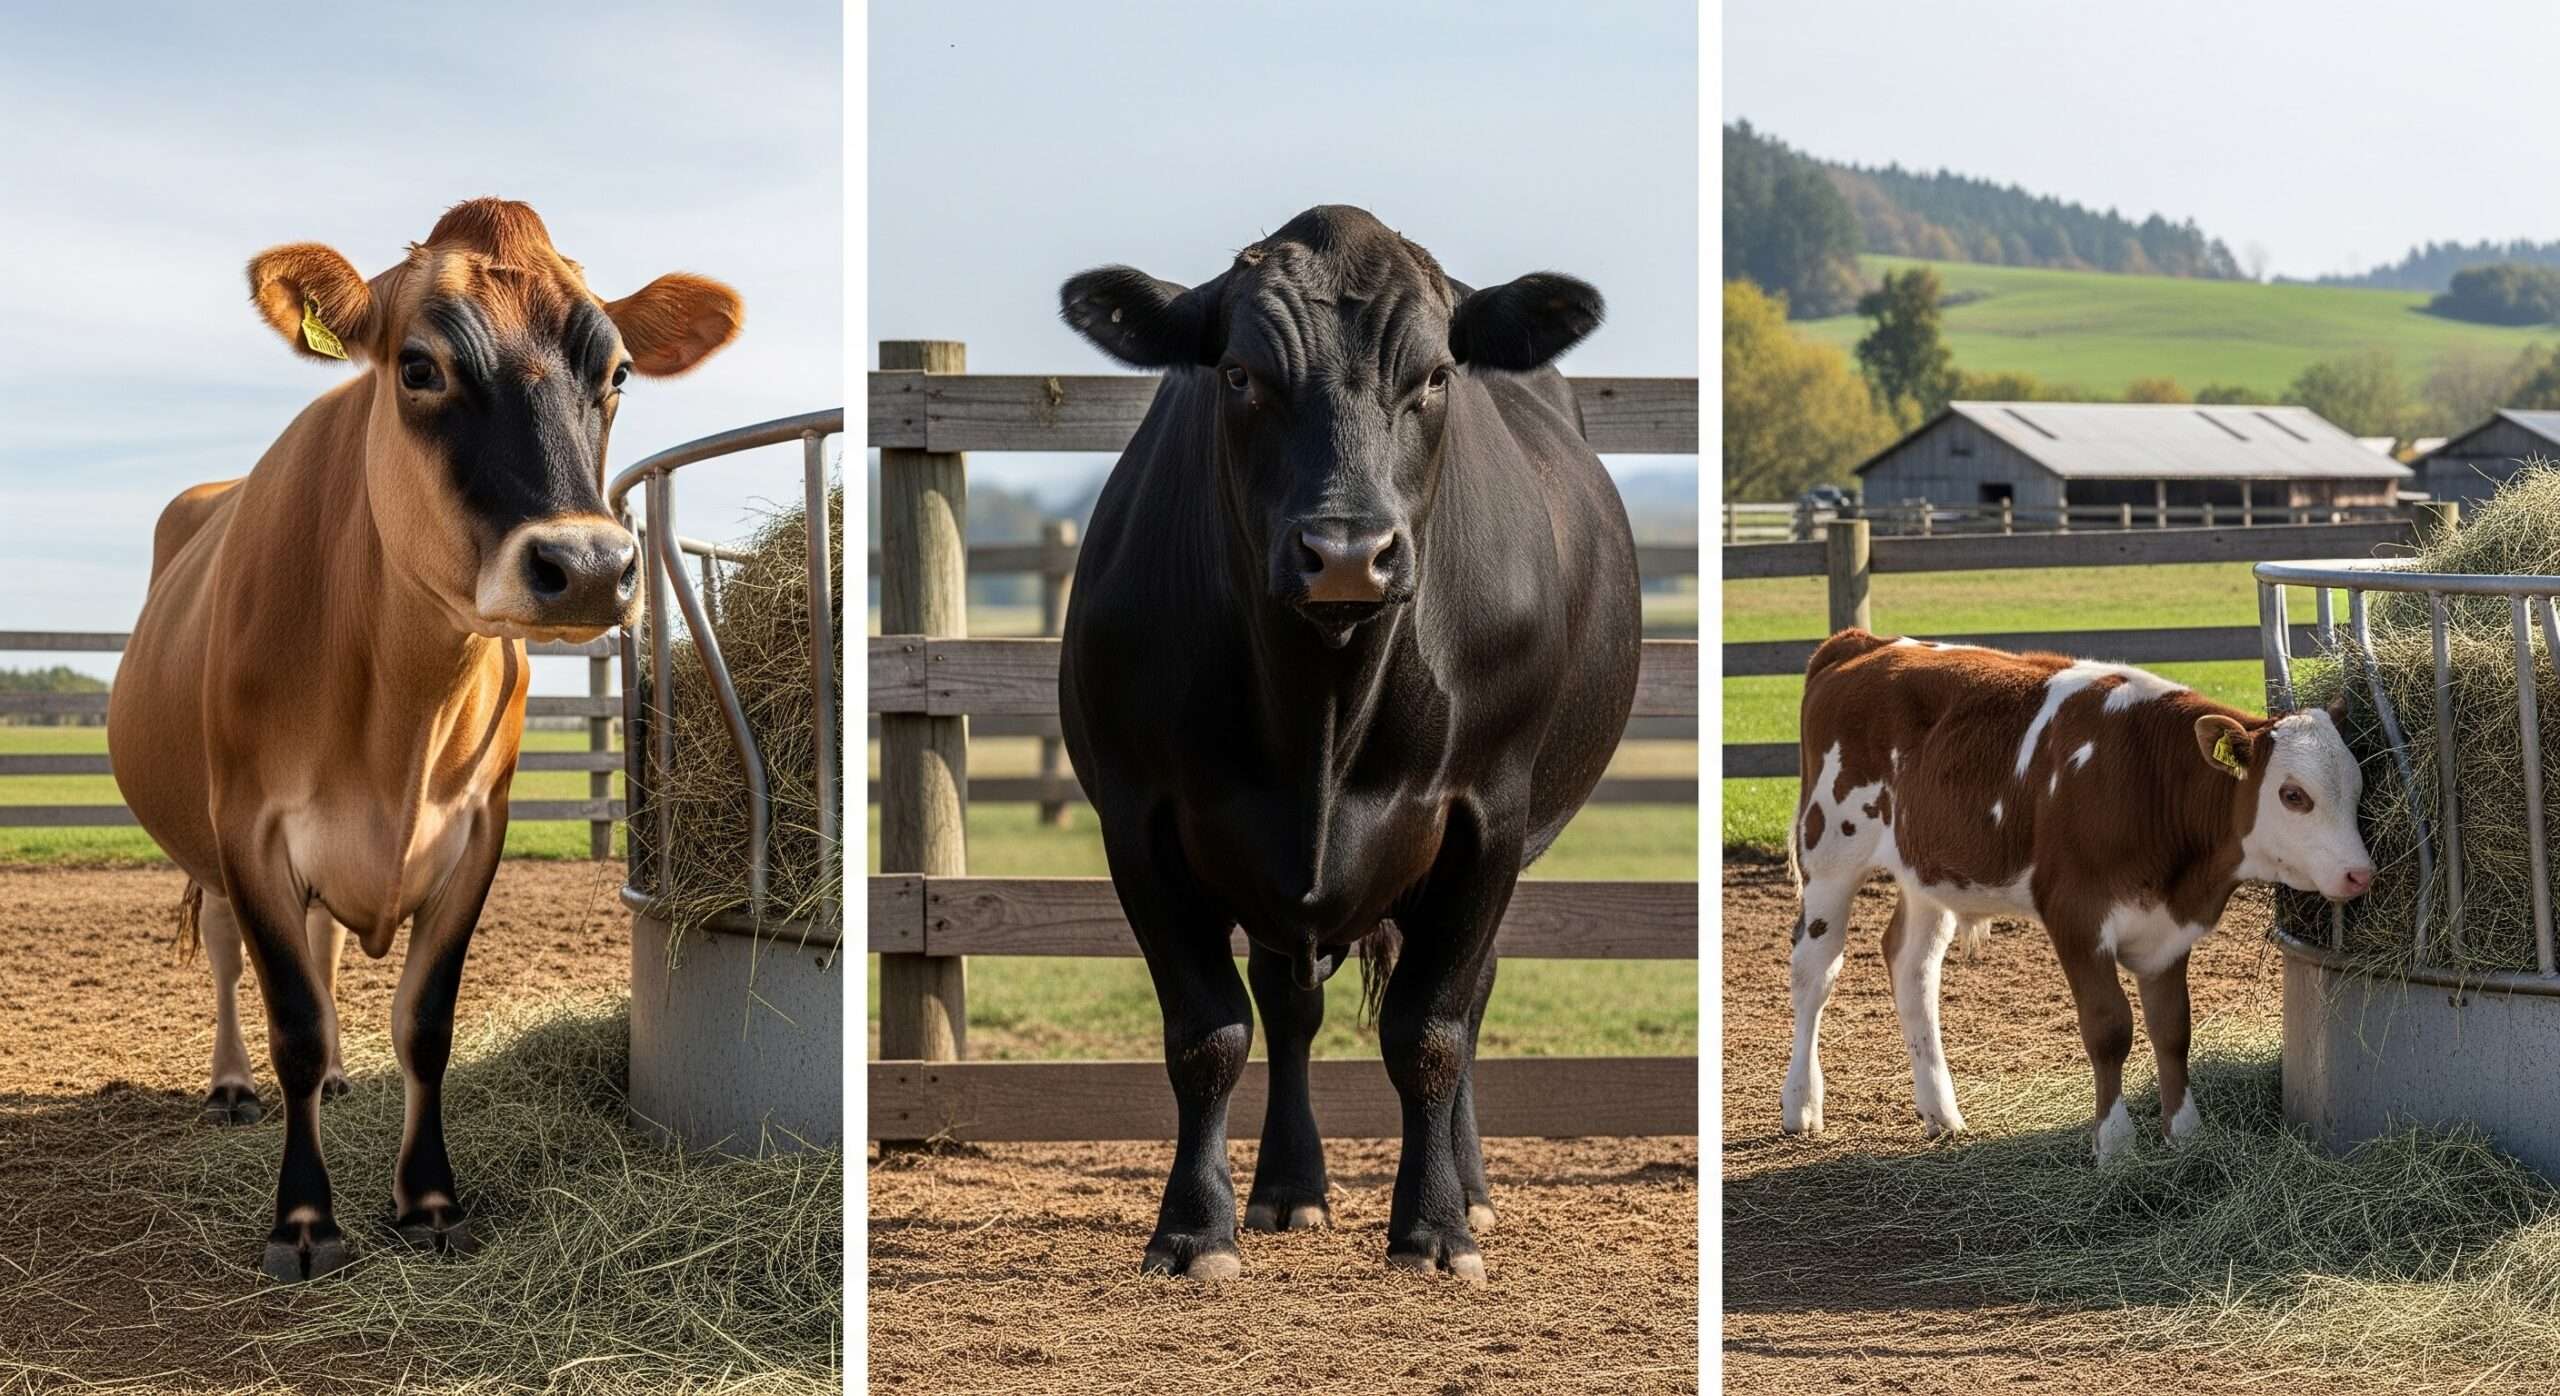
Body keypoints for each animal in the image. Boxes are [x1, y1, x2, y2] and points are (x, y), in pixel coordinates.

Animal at [106, 199, 740, 1281]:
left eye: (618, 374)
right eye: (418, 367)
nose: (586, 566)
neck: (395, 708)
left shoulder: (477, 830)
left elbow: (423, 1021)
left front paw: (430, 1198)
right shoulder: (250, 829)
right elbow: (291, 1023)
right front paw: (304, 1218)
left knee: (322, 947)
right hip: (204, 841)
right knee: (233, 958)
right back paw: (233, 1086)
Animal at [1053, 205, 1641, 1284]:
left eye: (1435, 375)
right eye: (1239, 373)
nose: (1345, 554)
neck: (1318, 705)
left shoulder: (1486, 818)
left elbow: (1431, 1029)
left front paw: (1435, 1227)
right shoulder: (1140, 820)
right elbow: (1208, 1030)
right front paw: (1194, 1229)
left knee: (1468, 995)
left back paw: (1470, 1188)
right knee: (1288, 1008)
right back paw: (1290, 1187)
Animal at [1783, 630, 2374, 1162]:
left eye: (2359, 787)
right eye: (2293, 795)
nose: (2360, 873)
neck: (2148, 780)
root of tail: (1861, 644)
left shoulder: (2168, 929)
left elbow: (2172, 1028)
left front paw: (2185, 1134)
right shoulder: (2076, 915)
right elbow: (2110, 1028)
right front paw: (2114, 1144)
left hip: (1926, 871)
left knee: (1913, 968)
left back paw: (1940, 1111)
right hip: (1829, 854)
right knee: (1815, 971)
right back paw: (1801, 1105)